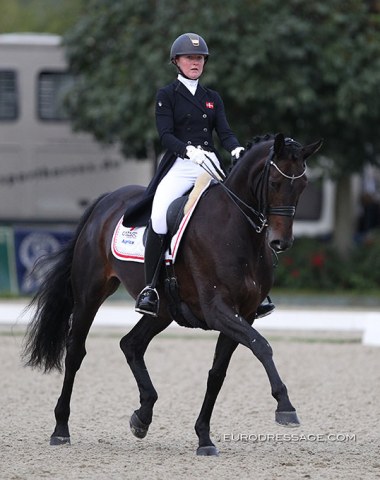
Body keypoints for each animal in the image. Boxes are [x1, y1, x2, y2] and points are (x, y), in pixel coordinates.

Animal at [23, 133, 320, 456]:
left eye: (303, 186)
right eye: (275, 183)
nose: (281, 242)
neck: (237, 230)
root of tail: (107, 200)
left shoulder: (245, 313)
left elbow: (217, 373)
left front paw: (204, 438)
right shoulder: (218, 310)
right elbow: (262, 346)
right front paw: (285, 406)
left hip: (162, 310)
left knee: (131, 344)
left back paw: (142, 417)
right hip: (90, 294)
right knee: (76, 351)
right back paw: (60, 429)